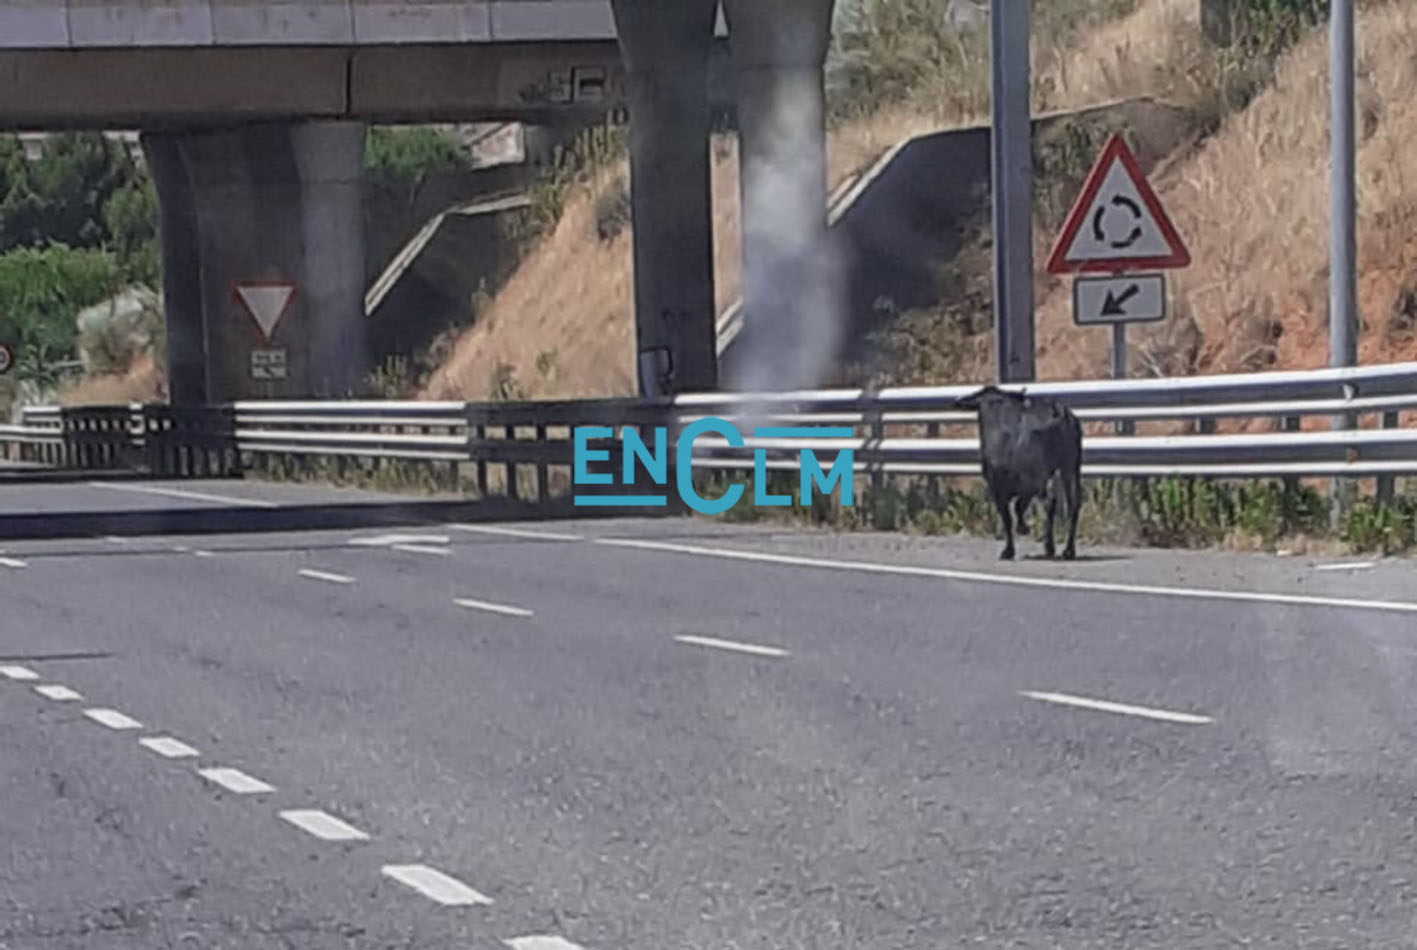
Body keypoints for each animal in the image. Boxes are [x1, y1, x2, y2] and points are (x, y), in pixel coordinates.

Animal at [952, 385, 1082, 561]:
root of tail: (1060, 413)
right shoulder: (1023, 488)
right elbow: (1018, 507)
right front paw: (1022, 530)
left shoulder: (999, 488)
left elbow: (1008, 516)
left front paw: (1009, 549)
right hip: (1069, 467)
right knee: (1073, 503)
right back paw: (1068, 550)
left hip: (1039, 477)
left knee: (1050, 501)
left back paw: (1049, 547)